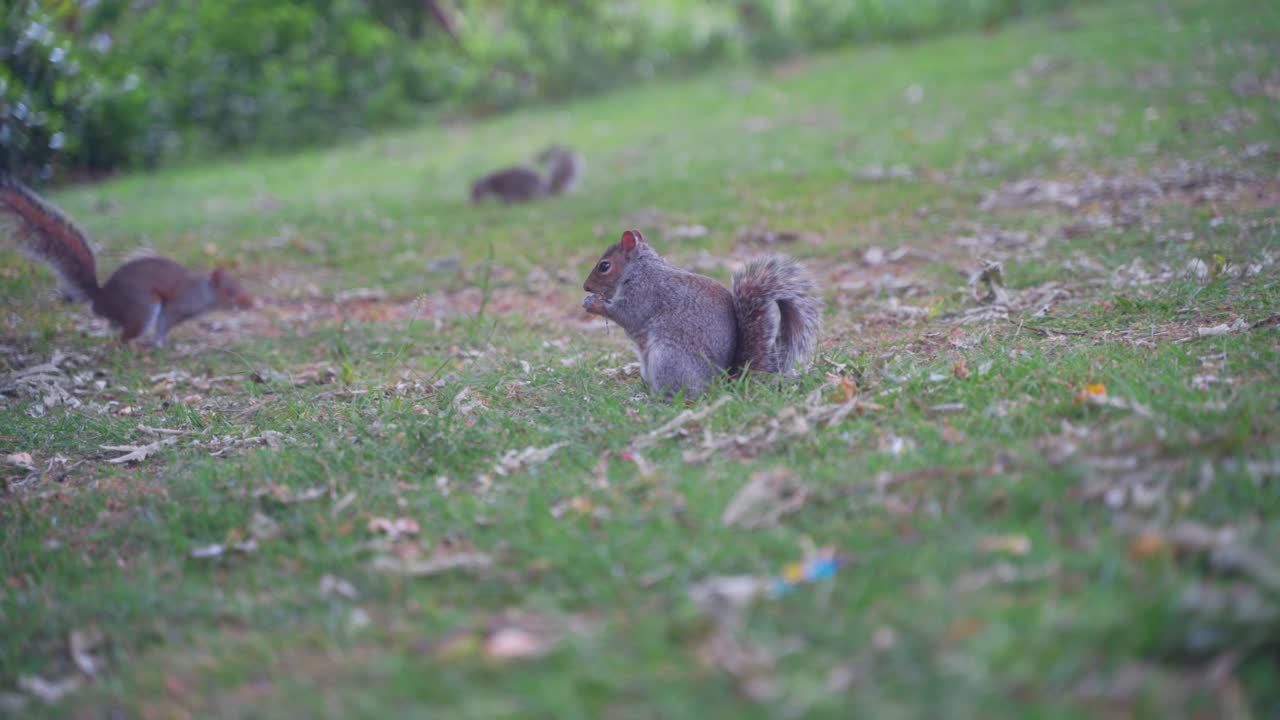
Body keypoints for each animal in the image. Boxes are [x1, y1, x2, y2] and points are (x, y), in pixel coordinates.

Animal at [0, 174, 254, 346]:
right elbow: (163, 324)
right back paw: (135, 346)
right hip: (142, 308)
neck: (203, 292)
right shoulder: (177, 305)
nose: (250, 304)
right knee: (124, 336)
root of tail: (101, 298)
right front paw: (159, 343)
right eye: (230, 291)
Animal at [582, 229, 823, 398]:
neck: (640, 269)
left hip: (669, 359)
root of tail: (722, 382)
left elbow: (626, 314)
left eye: (604, 266)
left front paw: (594, 304)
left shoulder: (643, 293)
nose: (585, 287)